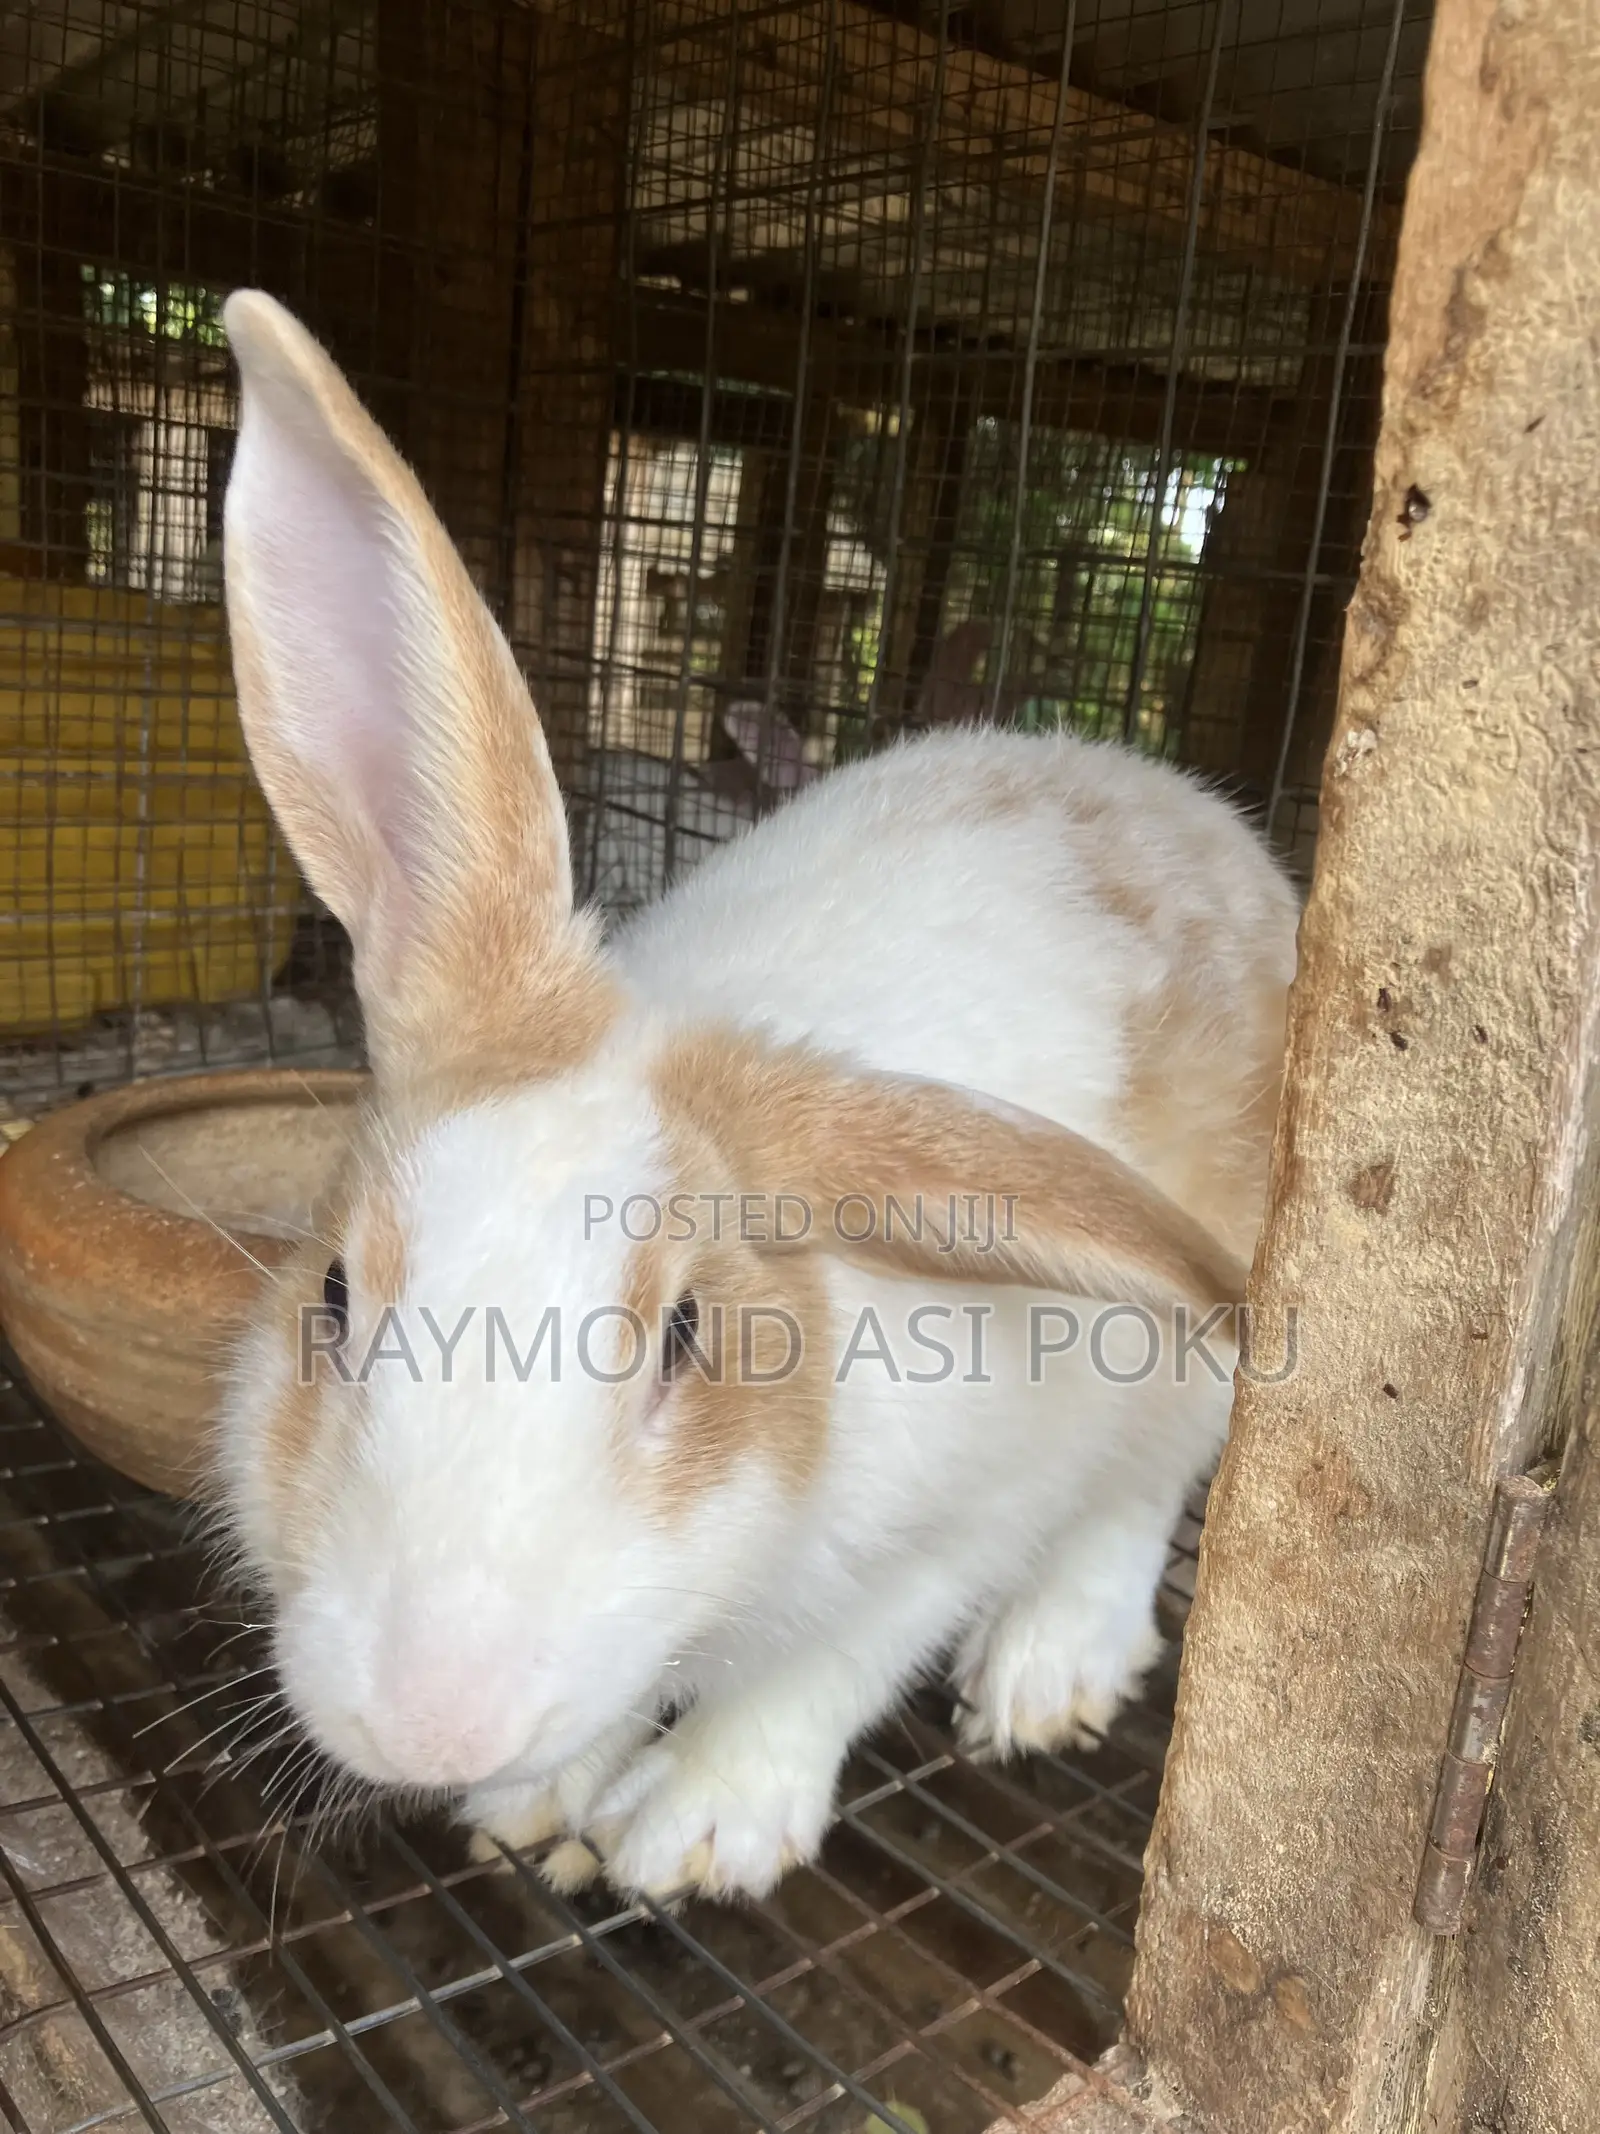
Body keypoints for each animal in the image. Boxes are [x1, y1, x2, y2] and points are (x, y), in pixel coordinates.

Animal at [214, 291, 1298, 1906]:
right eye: (333, 1298)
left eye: (687, 1336)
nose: (431, 1722)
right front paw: (534, 1802)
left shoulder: (948, 1524)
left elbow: (823, 1669)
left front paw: (695, 1830)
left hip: (1193, 1364)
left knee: (1134, 1501)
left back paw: (1043, 1676)